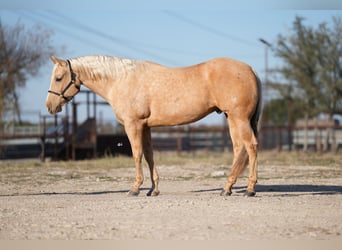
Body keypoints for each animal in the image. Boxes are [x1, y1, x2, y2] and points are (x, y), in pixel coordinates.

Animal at [45, 55, 262, 197]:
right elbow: (149, 155)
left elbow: (137, 154)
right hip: (232, 119)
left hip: (239, 118)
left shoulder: (133, 125)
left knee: (251, 146)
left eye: (58, 78)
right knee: (239, 148)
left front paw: (135, 188)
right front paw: (153, 189)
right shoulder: (145, 127)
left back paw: (249, 189)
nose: (50, 106)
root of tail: (250, 69)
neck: (121, 80)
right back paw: (227, 188)